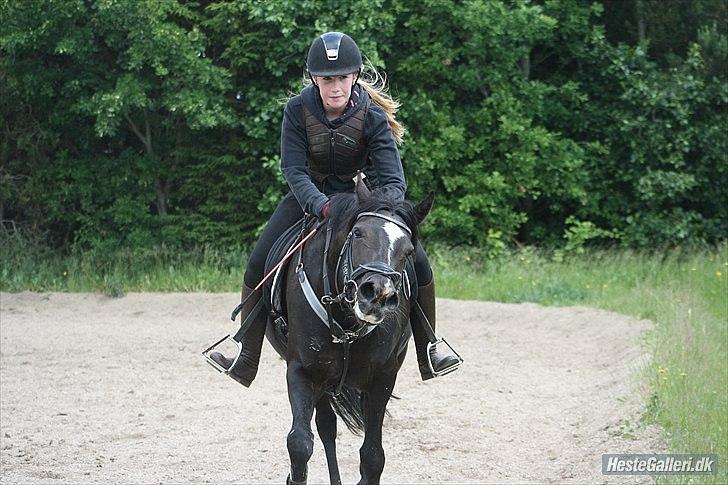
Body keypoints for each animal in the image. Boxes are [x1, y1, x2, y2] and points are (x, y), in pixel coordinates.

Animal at [264, 182, 432, 484]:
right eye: (358, 233)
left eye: (409, 250)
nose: (377, 294)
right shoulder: (302, 371)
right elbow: (300, 444)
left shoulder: (382, 379)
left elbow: (373, 456)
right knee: (325, 428)